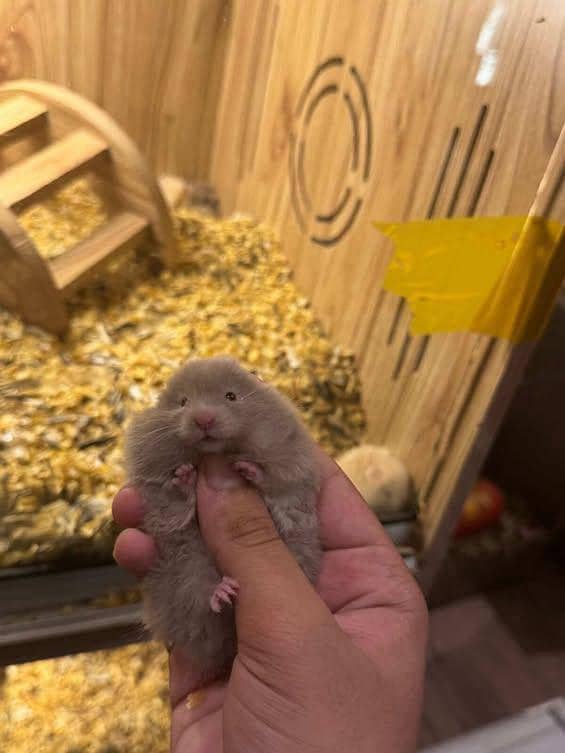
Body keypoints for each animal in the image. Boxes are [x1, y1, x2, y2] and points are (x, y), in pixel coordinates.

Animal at [124, 355, 321, 679]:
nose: (203, 419)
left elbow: (274, 484)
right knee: (201, 601)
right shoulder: (157, 493)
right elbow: (175, 502)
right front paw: (185, 475)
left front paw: (245, 470)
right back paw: (225, 592)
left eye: (231, 396)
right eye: (183, 402)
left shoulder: (292, 468)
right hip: (186, 572)